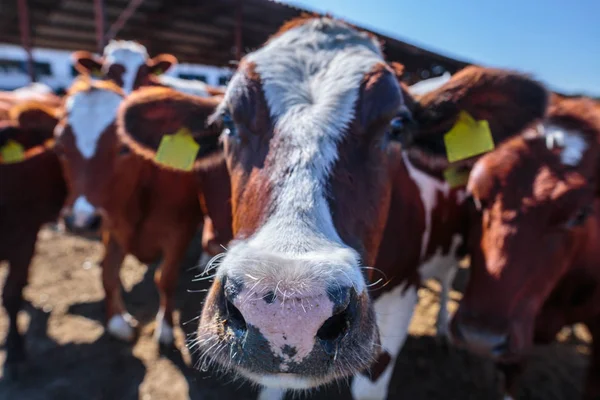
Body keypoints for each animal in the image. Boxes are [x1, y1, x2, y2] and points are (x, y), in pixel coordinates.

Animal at [52, 76, 227, 346]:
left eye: (124, 148)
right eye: (60, 147)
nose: (80, 221)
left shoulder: (180, 232)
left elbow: (165, 279)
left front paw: (165, 327)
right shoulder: (112, 227)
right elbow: (108, 274)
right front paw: (118, 322)